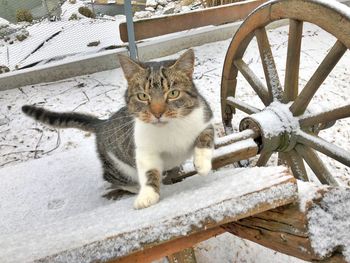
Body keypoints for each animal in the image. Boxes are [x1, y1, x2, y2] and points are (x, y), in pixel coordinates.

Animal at [22, 50, 213, 210]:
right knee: (111, 176)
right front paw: (147, 195)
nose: (157, 113)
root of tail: (103, 124)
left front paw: (202, 164)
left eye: (173, 93)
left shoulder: (205, 118)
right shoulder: (143, 148)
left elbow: (205, 137)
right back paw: (135, 187)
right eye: (142, 96)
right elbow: (149, 171)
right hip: (118, 165)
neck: (169, 129)